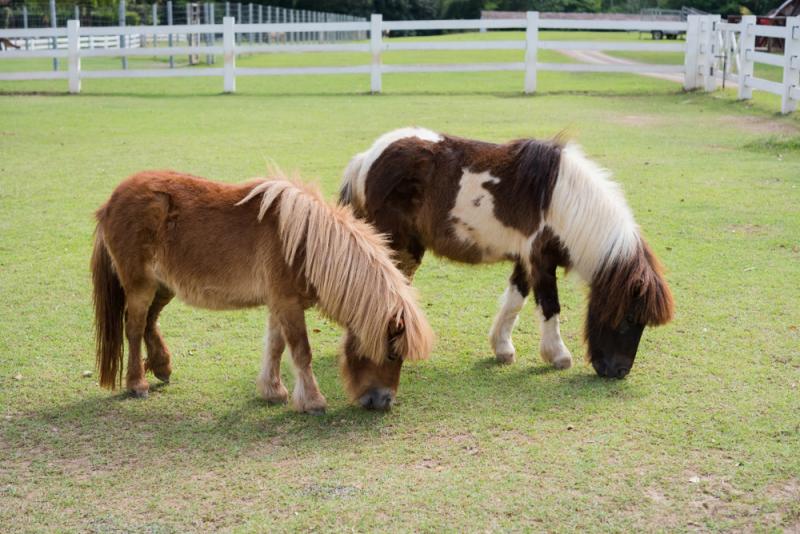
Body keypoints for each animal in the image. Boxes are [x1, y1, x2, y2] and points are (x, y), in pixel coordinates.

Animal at [90, 172, 434, 414]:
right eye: (392, 353)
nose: (383, 401)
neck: (305, 242)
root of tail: (111, 201)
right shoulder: (288, 303)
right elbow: (301, 351)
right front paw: (313, 401)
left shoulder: (279, 304)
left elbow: (276, 346)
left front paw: (273, 391)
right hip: (140, 286)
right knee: (135, 328)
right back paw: (137, 383)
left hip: (163, 287)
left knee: (150, 322)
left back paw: (162, 366)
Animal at [340, 129, 672, 382]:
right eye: (630, 317)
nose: (618, 371)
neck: (563, 203)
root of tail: (366, 158)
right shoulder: (541, 261)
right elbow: (550, 306)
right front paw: (558, 355)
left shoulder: (525, 261)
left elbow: (514, 301)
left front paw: (502, 348)